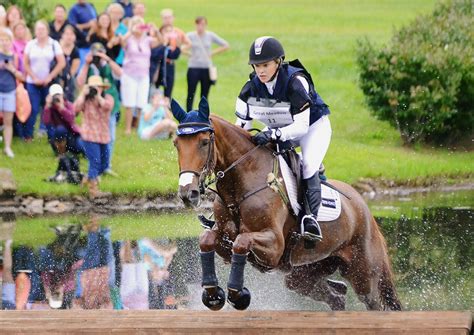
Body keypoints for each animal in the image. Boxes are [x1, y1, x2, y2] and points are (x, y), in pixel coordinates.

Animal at [170, 97, 400, 312]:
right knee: (337, 295)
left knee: (373, 303)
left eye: (203, 142)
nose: (187, 193)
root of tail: (363, 207)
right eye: (176, 144)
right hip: (301, 275)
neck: (241, 184)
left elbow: (242, 241)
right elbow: (207, 239)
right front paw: (213, 294)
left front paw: (237, 295)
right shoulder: (223, 238)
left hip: (363, 275)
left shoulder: (274, 246)